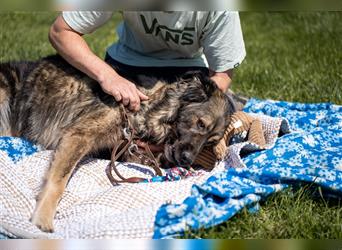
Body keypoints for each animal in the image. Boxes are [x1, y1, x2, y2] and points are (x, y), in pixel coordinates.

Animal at [0, 54, 235, 232]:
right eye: (200, 123)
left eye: (210, 142)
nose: (187, 161)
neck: (147, 108)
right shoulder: (79, 135)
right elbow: (58, 181)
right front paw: (43, 218)